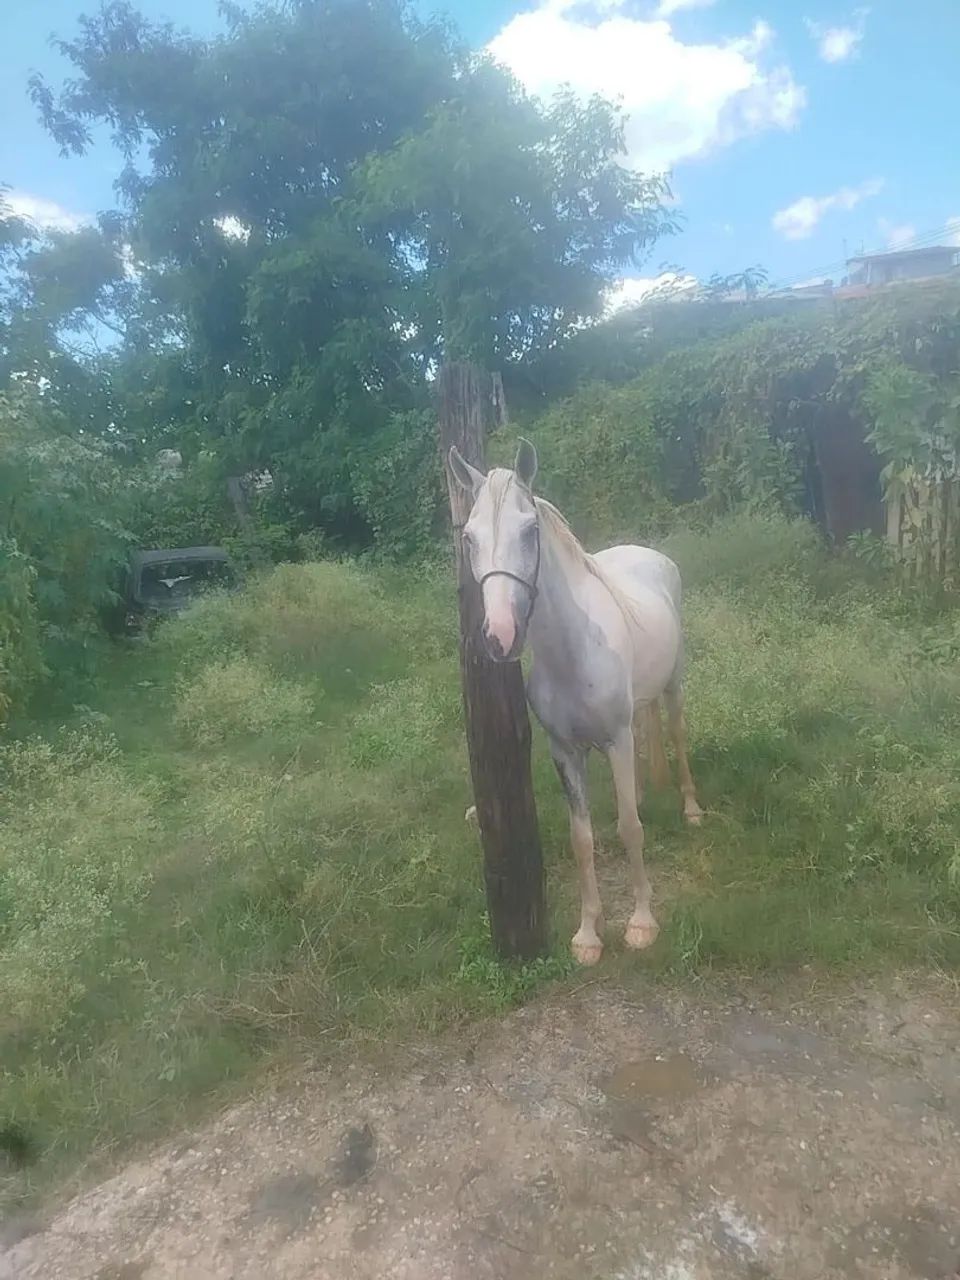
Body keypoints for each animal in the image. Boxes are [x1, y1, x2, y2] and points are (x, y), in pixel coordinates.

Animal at [449, 439, 702, 966]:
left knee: (674, 730)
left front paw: (641, 924)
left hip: (673, 684)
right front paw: (589, 934)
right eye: (470, 538)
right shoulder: (565, 751)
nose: (500, 636)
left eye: (529, 530)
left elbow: (630, 829)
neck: (572, 652)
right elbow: (581, 839)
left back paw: (690, 808)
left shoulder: (617, 738)